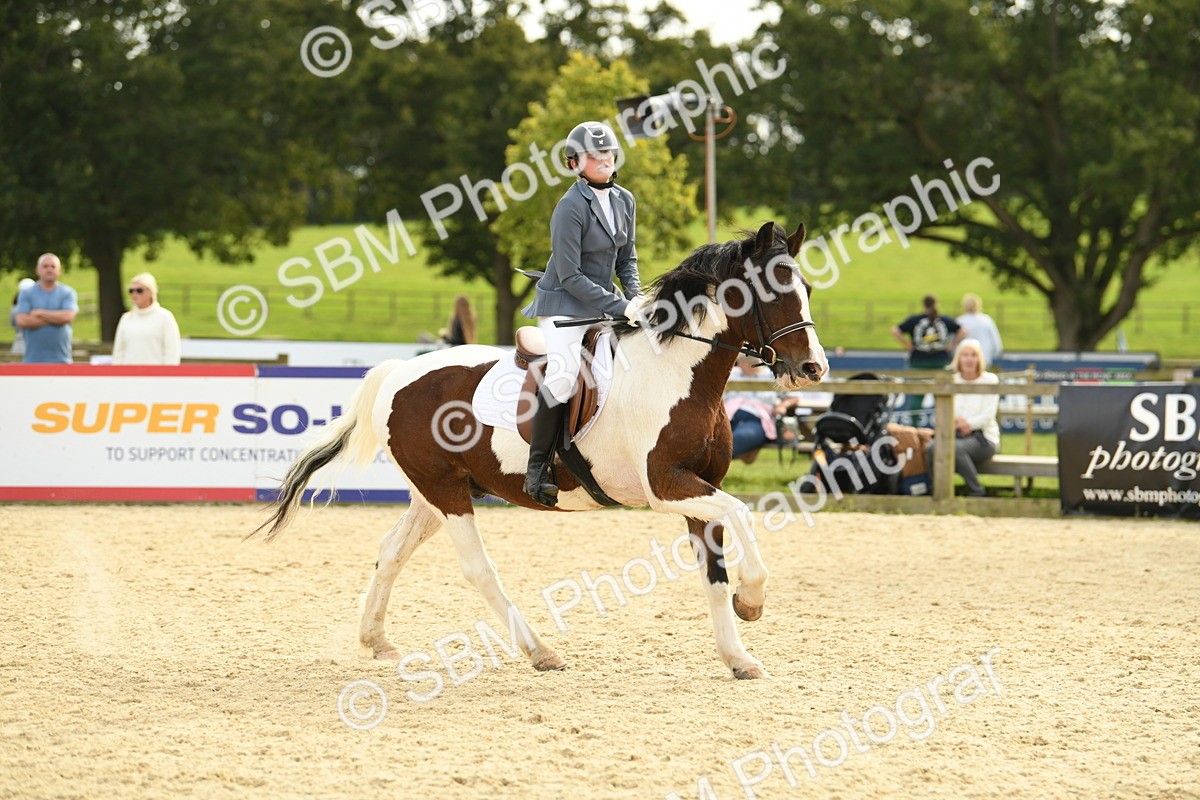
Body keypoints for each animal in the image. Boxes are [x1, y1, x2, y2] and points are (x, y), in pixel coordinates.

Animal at [252, 220, 829, 680]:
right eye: (773, 292)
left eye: (805, 288)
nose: (813, 369)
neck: (678, 373)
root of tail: (399, 372)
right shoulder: (668, 488)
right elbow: (741, 514)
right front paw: (752, 601)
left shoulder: (697, 489)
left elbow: (714, 571)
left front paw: (739, 656)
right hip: (445, 493)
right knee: (478, 569)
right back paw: (539, 651)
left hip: (437, 491)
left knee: (392, 550)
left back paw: (375, 640)